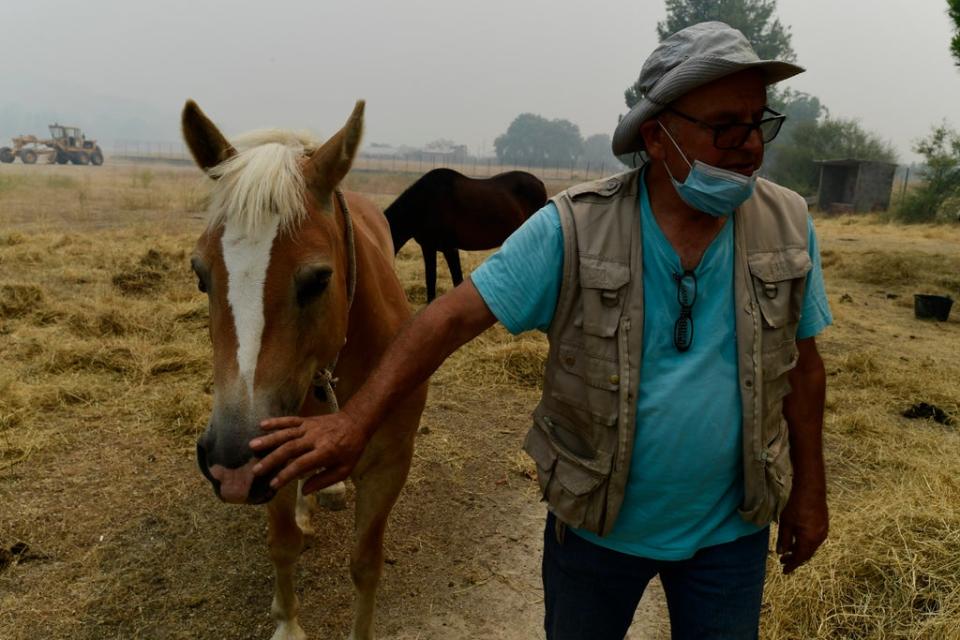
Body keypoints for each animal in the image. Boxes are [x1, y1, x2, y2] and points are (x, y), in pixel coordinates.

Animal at [186, 99, 426, 640]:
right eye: (200, 274)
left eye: (318, 279)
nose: (230, 456)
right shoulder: (271, 456)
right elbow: (283, 545)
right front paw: (288, 622)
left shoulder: (389, 465)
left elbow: (365, 565)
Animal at [384, 168, 548, 302]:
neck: (424, 203)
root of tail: (540, 183)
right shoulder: (428, 247)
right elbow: (430, 279)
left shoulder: (450, 248)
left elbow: (457, 280)